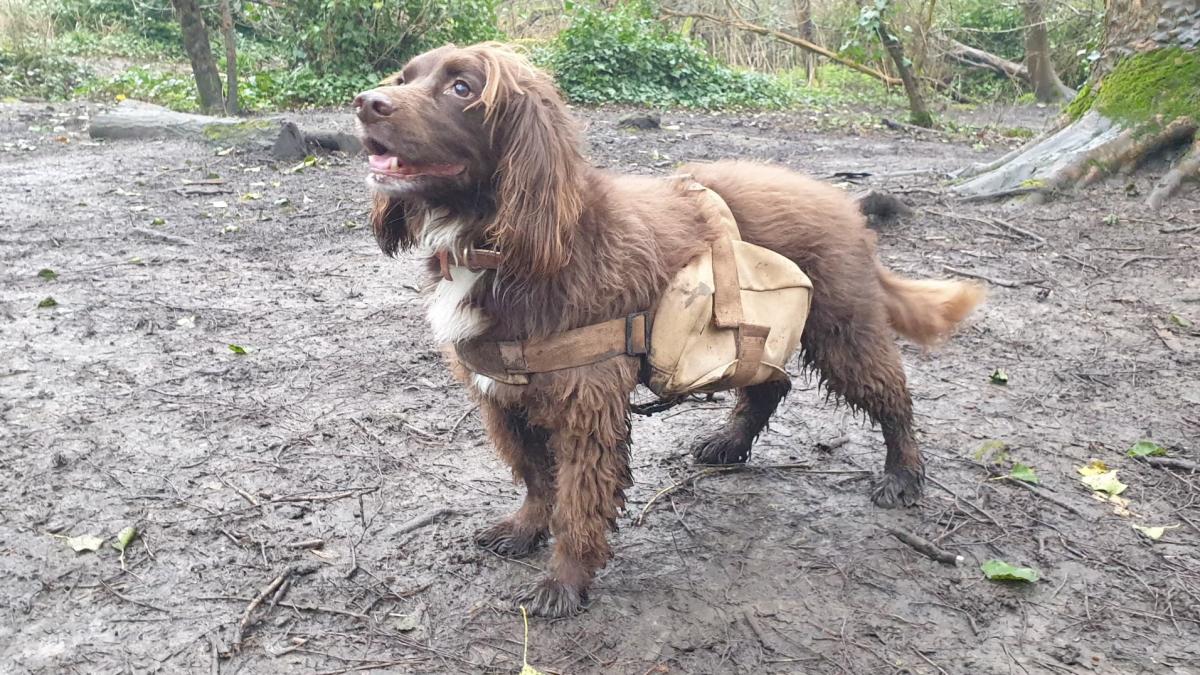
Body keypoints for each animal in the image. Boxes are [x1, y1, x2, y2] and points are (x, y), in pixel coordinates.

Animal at [350, 42, 979, 614]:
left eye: (462, 87)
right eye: (404, 77)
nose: (365, 103)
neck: (501, 245)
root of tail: (842, 202)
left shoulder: (586, 400)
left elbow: (577, 499)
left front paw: (565, 582)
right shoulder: (502, 392)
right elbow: (536, 478)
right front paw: (526, 528)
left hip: (842, 329)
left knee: (892, 397)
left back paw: (902, 475)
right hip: (759, 330)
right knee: (769, 383)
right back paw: (729, 442)